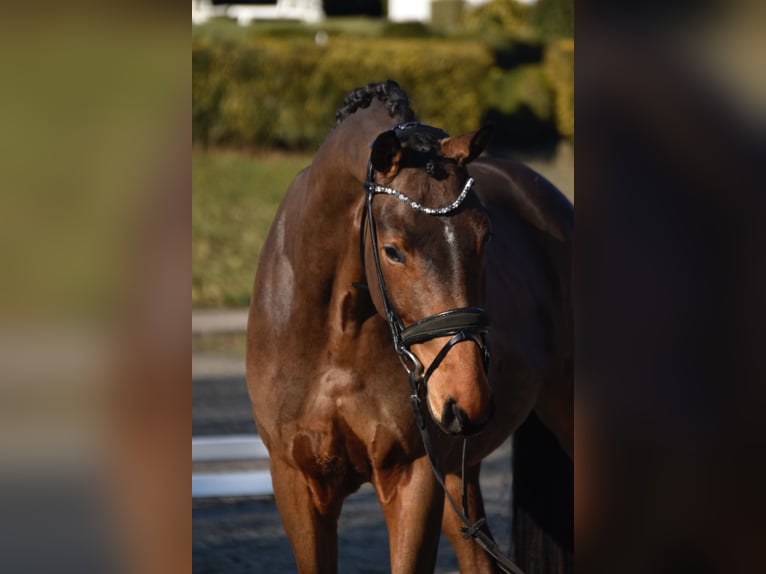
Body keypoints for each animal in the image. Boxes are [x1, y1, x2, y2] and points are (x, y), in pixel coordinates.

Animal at [246, 80, 573, 574]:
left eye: (486, 236)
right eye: (393, 250)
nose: (467, 398)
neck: (335, 338)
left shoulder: (413, 479)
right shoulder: (297, 484)